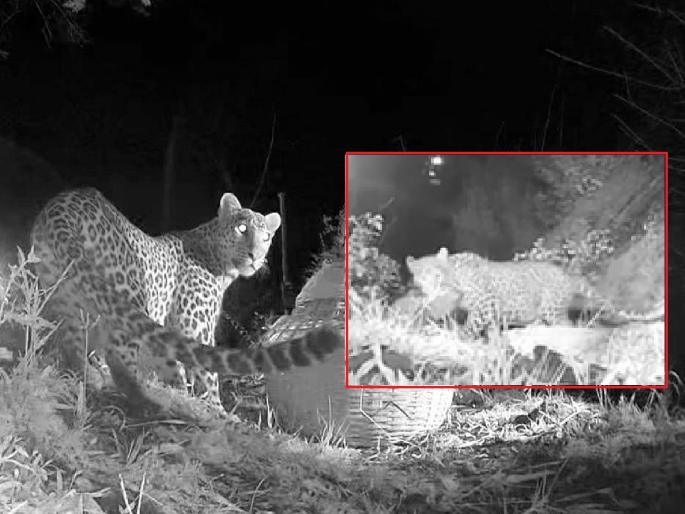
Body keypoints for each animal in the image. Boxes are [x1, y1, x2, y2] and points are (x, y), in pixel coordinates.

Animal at [30, 187, 342, 417]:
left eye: (266, 237)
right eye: (242, 229)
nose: (255, 256)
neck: (221, 265)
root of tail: (62, 206)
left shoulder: (168, 329)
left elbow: (174, 367)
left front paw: (183, 396)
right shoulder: (196, 325)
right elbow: (208, 373)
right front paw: (218, 411)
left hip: (64, 296)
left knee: (72, 344)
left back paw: (90, 378)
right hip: (127, 292)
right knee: (120, 357)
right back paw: (146, 401)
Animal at [405, 247, 663, 339]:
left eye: (437, 275)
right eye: (421, 277)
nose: (431, 291)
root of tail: (566, 275)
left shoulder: (485, 304)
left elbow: (470, 326)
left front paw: (457, 334)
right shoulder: (489, 312)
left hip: (552, 310)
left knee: (567, 326)